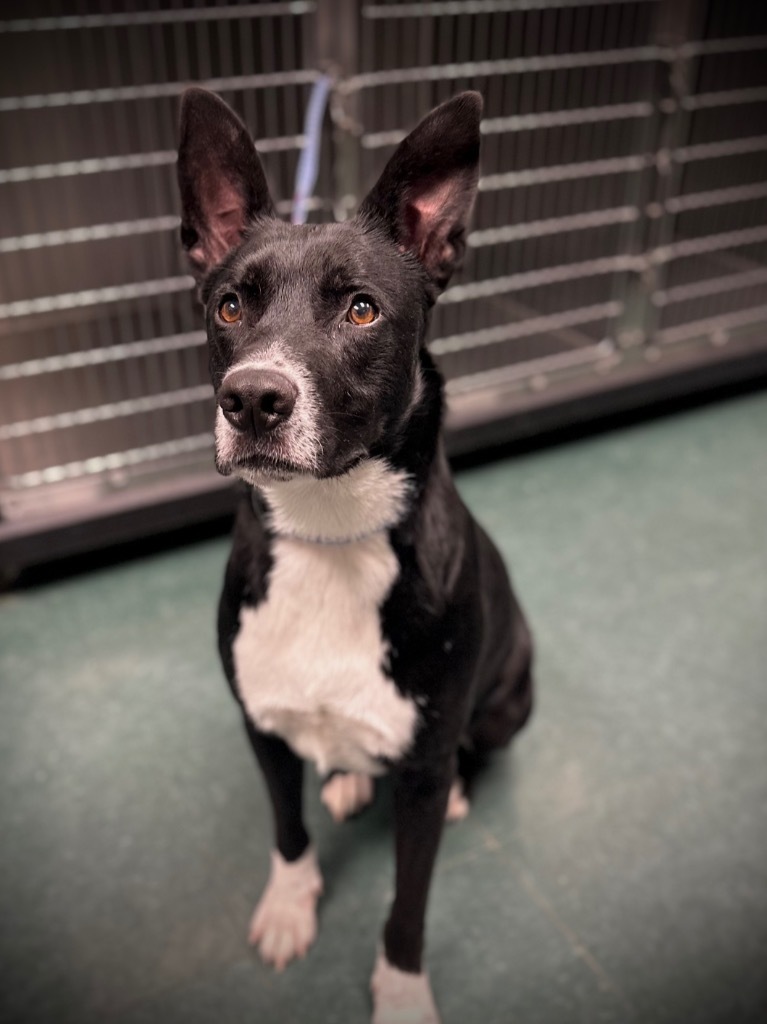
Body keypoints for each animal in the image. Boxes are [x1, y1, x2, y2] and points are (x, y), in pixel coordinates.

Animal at [176, 86, 532, 1024]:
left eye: (361, 309)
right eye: (230, 306)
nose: (251, 399)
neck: (330, 535)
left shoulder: (422, 771)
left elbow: (407, 906)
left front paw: (402, 993)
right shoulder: (259, 724)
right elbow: (286, 830)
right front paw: (289, 907)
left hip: (510, 696)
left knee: (468, 748)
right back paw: (342, 776)